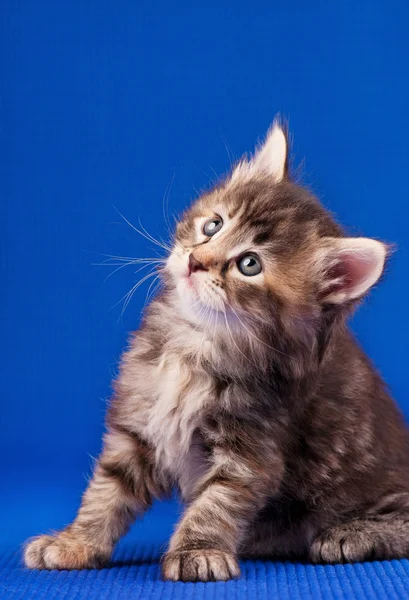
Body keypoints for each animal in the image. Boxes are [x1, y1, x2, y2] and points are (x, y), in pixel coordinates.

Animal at [23, 118, 408, 580]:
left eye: (249, 264)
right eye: (212, 226)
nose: (195, 261)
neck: (195, 343)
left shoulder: (251, 448)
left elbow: (216, 504)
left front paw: (197, 551)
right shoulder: (137, 429)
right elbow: (106, 493)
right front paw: (74, 542)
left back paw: (351, 533)